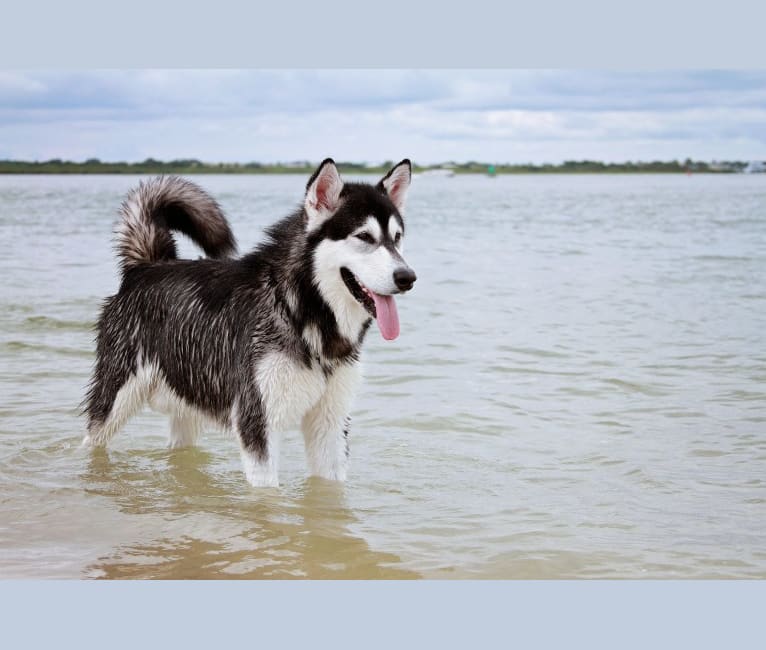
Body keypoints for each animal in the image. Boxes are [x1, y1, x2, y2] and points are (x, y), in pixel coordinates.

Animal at [83, 157, 416, 484]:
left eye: (397, 238)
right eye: (364, 237)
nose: (407, 277)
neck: (300, 308)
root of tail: (146, 266)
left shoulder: (329, 425)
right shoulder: (257, 422)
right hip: (114, 401)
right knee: (92, 439)